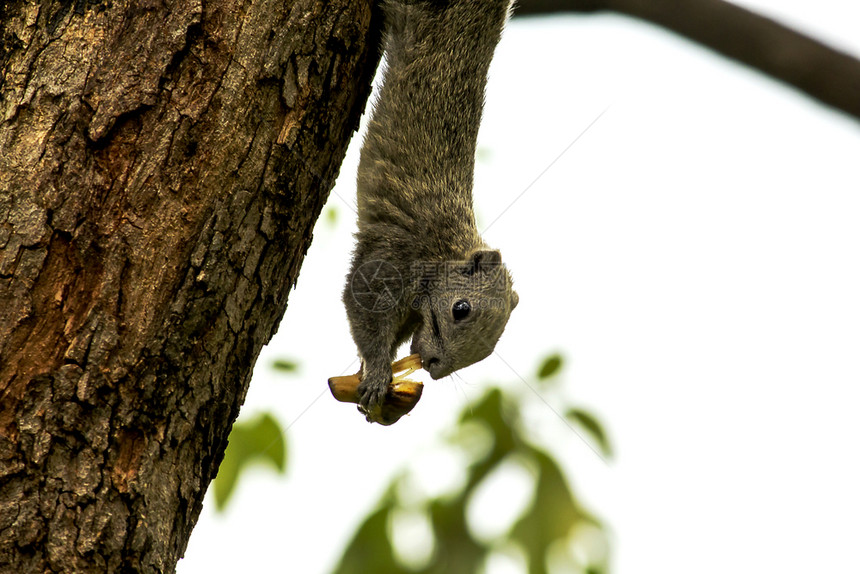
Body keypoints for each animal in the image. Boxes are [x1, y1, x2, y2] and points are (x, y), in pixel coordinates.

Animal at [340, 0, 516, 426]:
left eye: (489, 348)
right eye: (460, 309)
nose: (434, 366)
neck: (444, 252)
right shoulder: (391, 259)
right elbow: (361, 305)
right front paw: (376, 374)